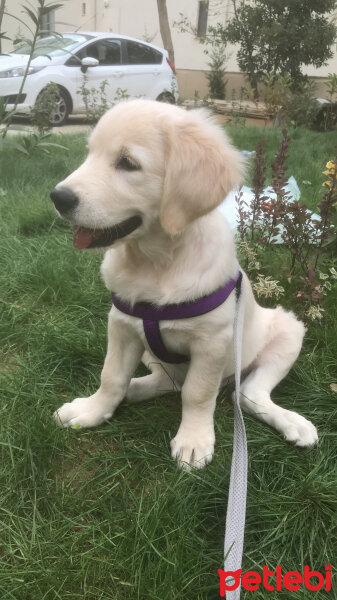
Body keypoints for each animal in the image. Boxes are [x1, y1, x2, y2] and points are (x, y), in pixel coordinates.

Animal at [50, 99, 318, 468]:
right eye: (90, 154)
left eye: (127, 163)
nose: (58, 198)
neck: (156, 261)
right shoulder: (121, 326)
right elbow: (111, 376)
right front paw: (93, 409)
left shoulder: (212, 342)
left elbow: (198, 392)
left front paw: (193, 439)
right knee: (167, 381)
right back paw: (134, 390)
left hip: (288, 331)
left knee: (245, 394)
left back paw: (294, 423)